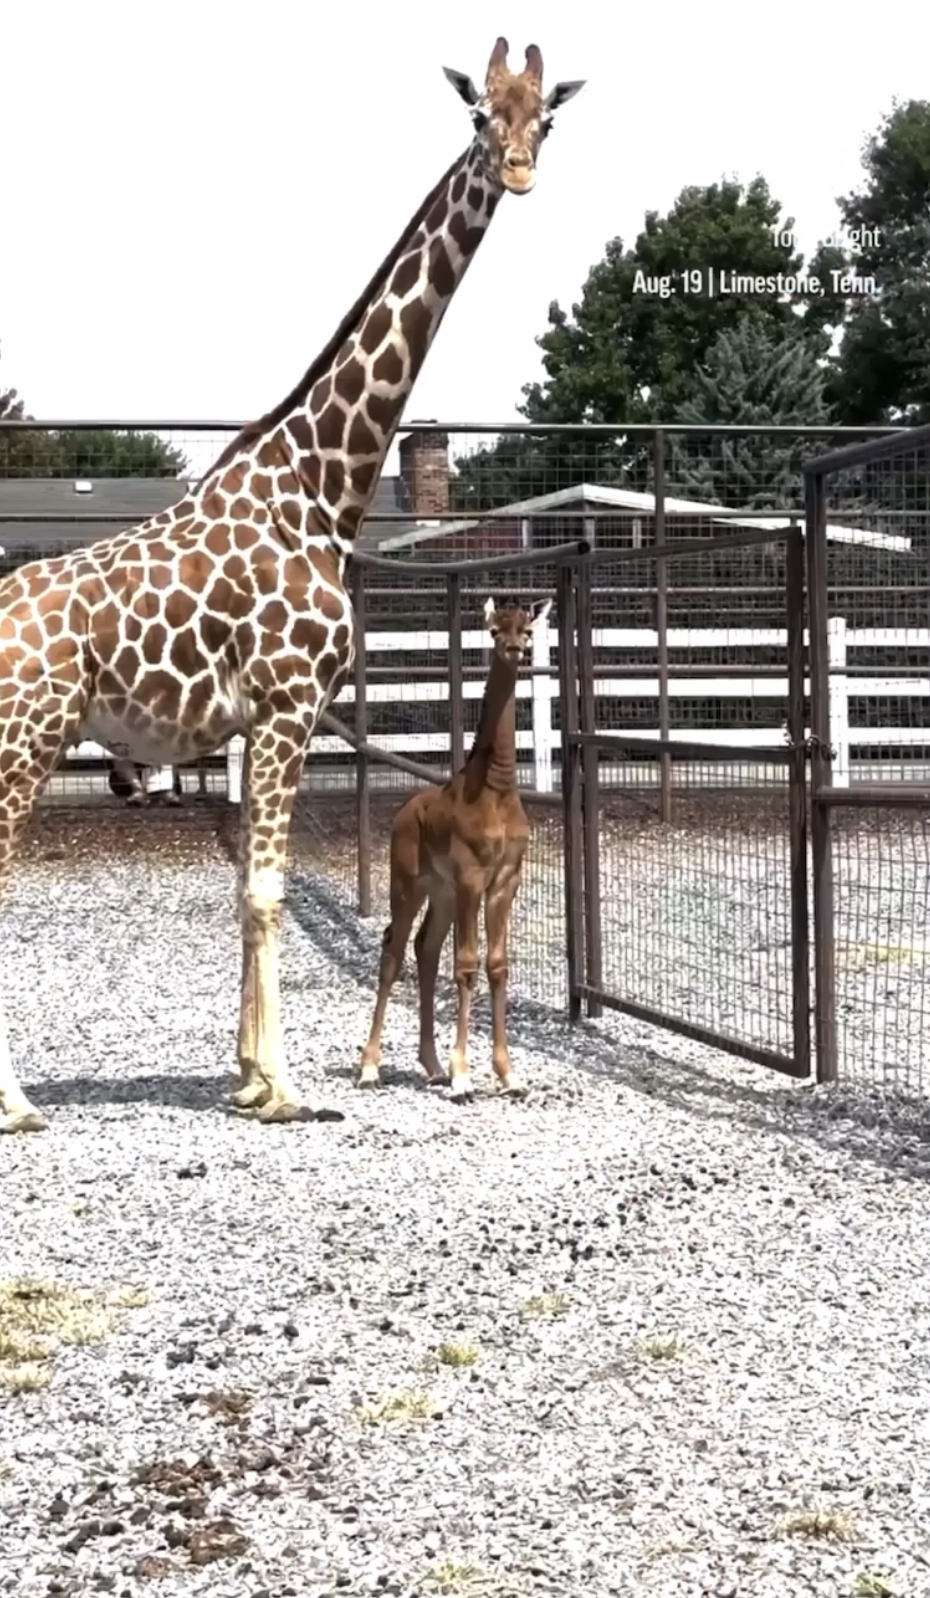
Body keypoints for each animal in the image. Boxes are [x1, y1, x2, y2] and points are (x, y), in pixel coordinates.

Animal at [0, 37, 581, 1137]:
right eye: (480, 114)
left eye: (548, 116)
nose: (523, 172)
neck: (320, 485)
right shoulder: (287, 703)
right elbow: (267, 888)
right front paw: (281, 1087)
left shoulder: (266, 718)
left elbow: (248, 888)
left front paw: (242, 1072)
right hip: (28, 738)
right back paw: (15, 1104)